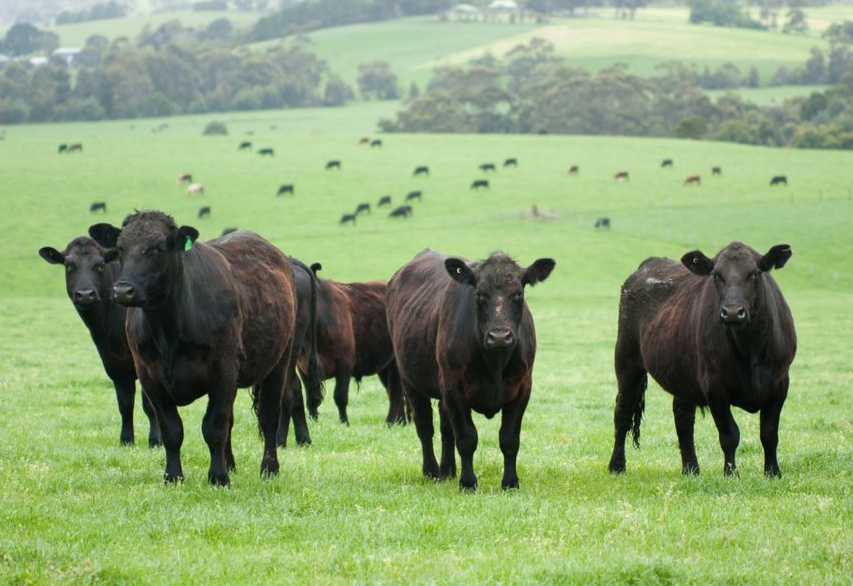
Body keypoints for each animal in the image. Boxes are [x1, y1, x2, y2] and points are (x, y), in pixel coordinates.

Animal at [37, 235, 160, 444]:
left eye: (100, 265)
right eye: (69, 266)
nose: (85, 295)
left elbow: (150, 405)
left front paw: (155, 441)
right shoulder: (112, 362)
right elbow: (125, 403)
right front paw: (126, 440)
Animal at [87, 211, 302, 484]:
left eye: (158, 248)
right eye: (120, 248)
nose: (123, 290)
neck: (168, 330)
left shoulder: (223, 370)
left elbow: (214, 427)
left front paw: (218, 477)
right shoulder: (149, 376)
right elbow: (172, 430)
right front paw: (173, 476)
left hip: (279, 363)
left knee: (268, 417)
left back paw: (269, 469)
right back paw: (231, 464)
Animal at [298, 264, 408, 424]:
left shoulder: (345, 363)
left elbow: (340, 396)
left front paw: (345, 423)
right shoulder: (304, 368)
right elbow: (311, 399)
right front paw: (313, 423)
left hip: (395, 364)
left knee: (395, 392)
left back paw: (390, 423)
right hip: (385, 366)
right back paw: (400, 422)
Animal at [384, 248, 556, 488]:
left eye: (519, 294)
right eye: (479, 294)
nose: (500, 336)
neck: (495, 363)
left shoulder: (522, 387)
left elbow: (509, 439)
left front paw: (510, 482)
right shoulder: (454, 387)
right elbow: (466, 438)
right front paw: (468, 482)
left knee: (446, 428)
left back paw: (448, 470)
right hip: (411, 379)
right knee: (425, 425)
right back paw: (432, 471)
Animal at [608, 241, 796, 474]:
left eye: (754, 273)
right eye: (716, 275)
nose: (732, 312)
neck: (750, 351)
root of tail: (648, 264)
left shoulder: (780, 384)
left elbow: (769, 434)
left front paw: (772, 473)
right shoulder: (715, 387)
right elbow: (730, 435)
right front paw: (731, 473)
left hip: (681, 371)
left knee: (683, 417)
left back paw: (691, 469)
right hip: (626, 360)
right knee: (623, 411)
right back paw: (617, 466)